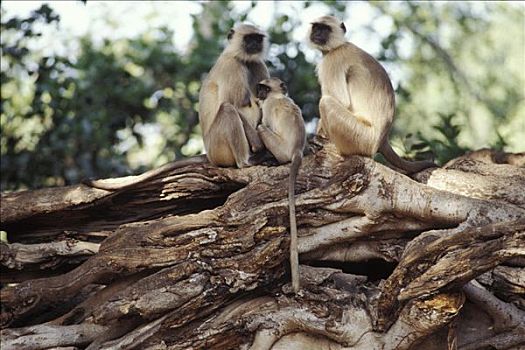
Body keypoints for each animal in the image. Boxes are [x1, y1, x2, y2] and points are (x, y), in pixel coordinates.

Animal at [308, 15, 434, 174]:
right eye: (316, 27)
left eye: (325, 29)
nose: (317, 33)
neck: (338, 46)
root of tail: (382, 139)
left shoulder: (333, 59)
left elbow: (341, 101)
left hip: (361, 137)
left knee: (326, 102)